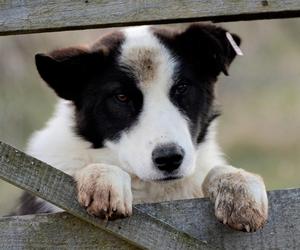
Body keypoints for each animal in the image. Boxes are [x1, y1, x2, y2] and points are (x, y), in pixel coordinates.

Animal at [17, 23, 268, 232]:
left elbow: (216, 171)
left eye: (181, 88)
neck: (151, 190)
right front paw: (103, 177)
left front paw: (238, 185)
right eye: (121, 97)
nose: (169, 159)